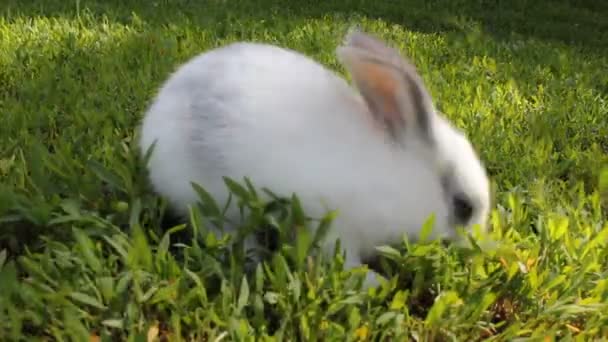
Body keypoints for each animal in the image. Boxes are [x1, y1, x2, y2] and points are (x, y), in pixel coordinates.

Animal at [138, 28, 490, 288]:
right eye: (464, 207)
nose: (476, 248)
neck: (396, 178)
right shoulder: (334, 228)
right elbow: (345, 263)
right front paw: (377, 284)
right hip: (205, 201)